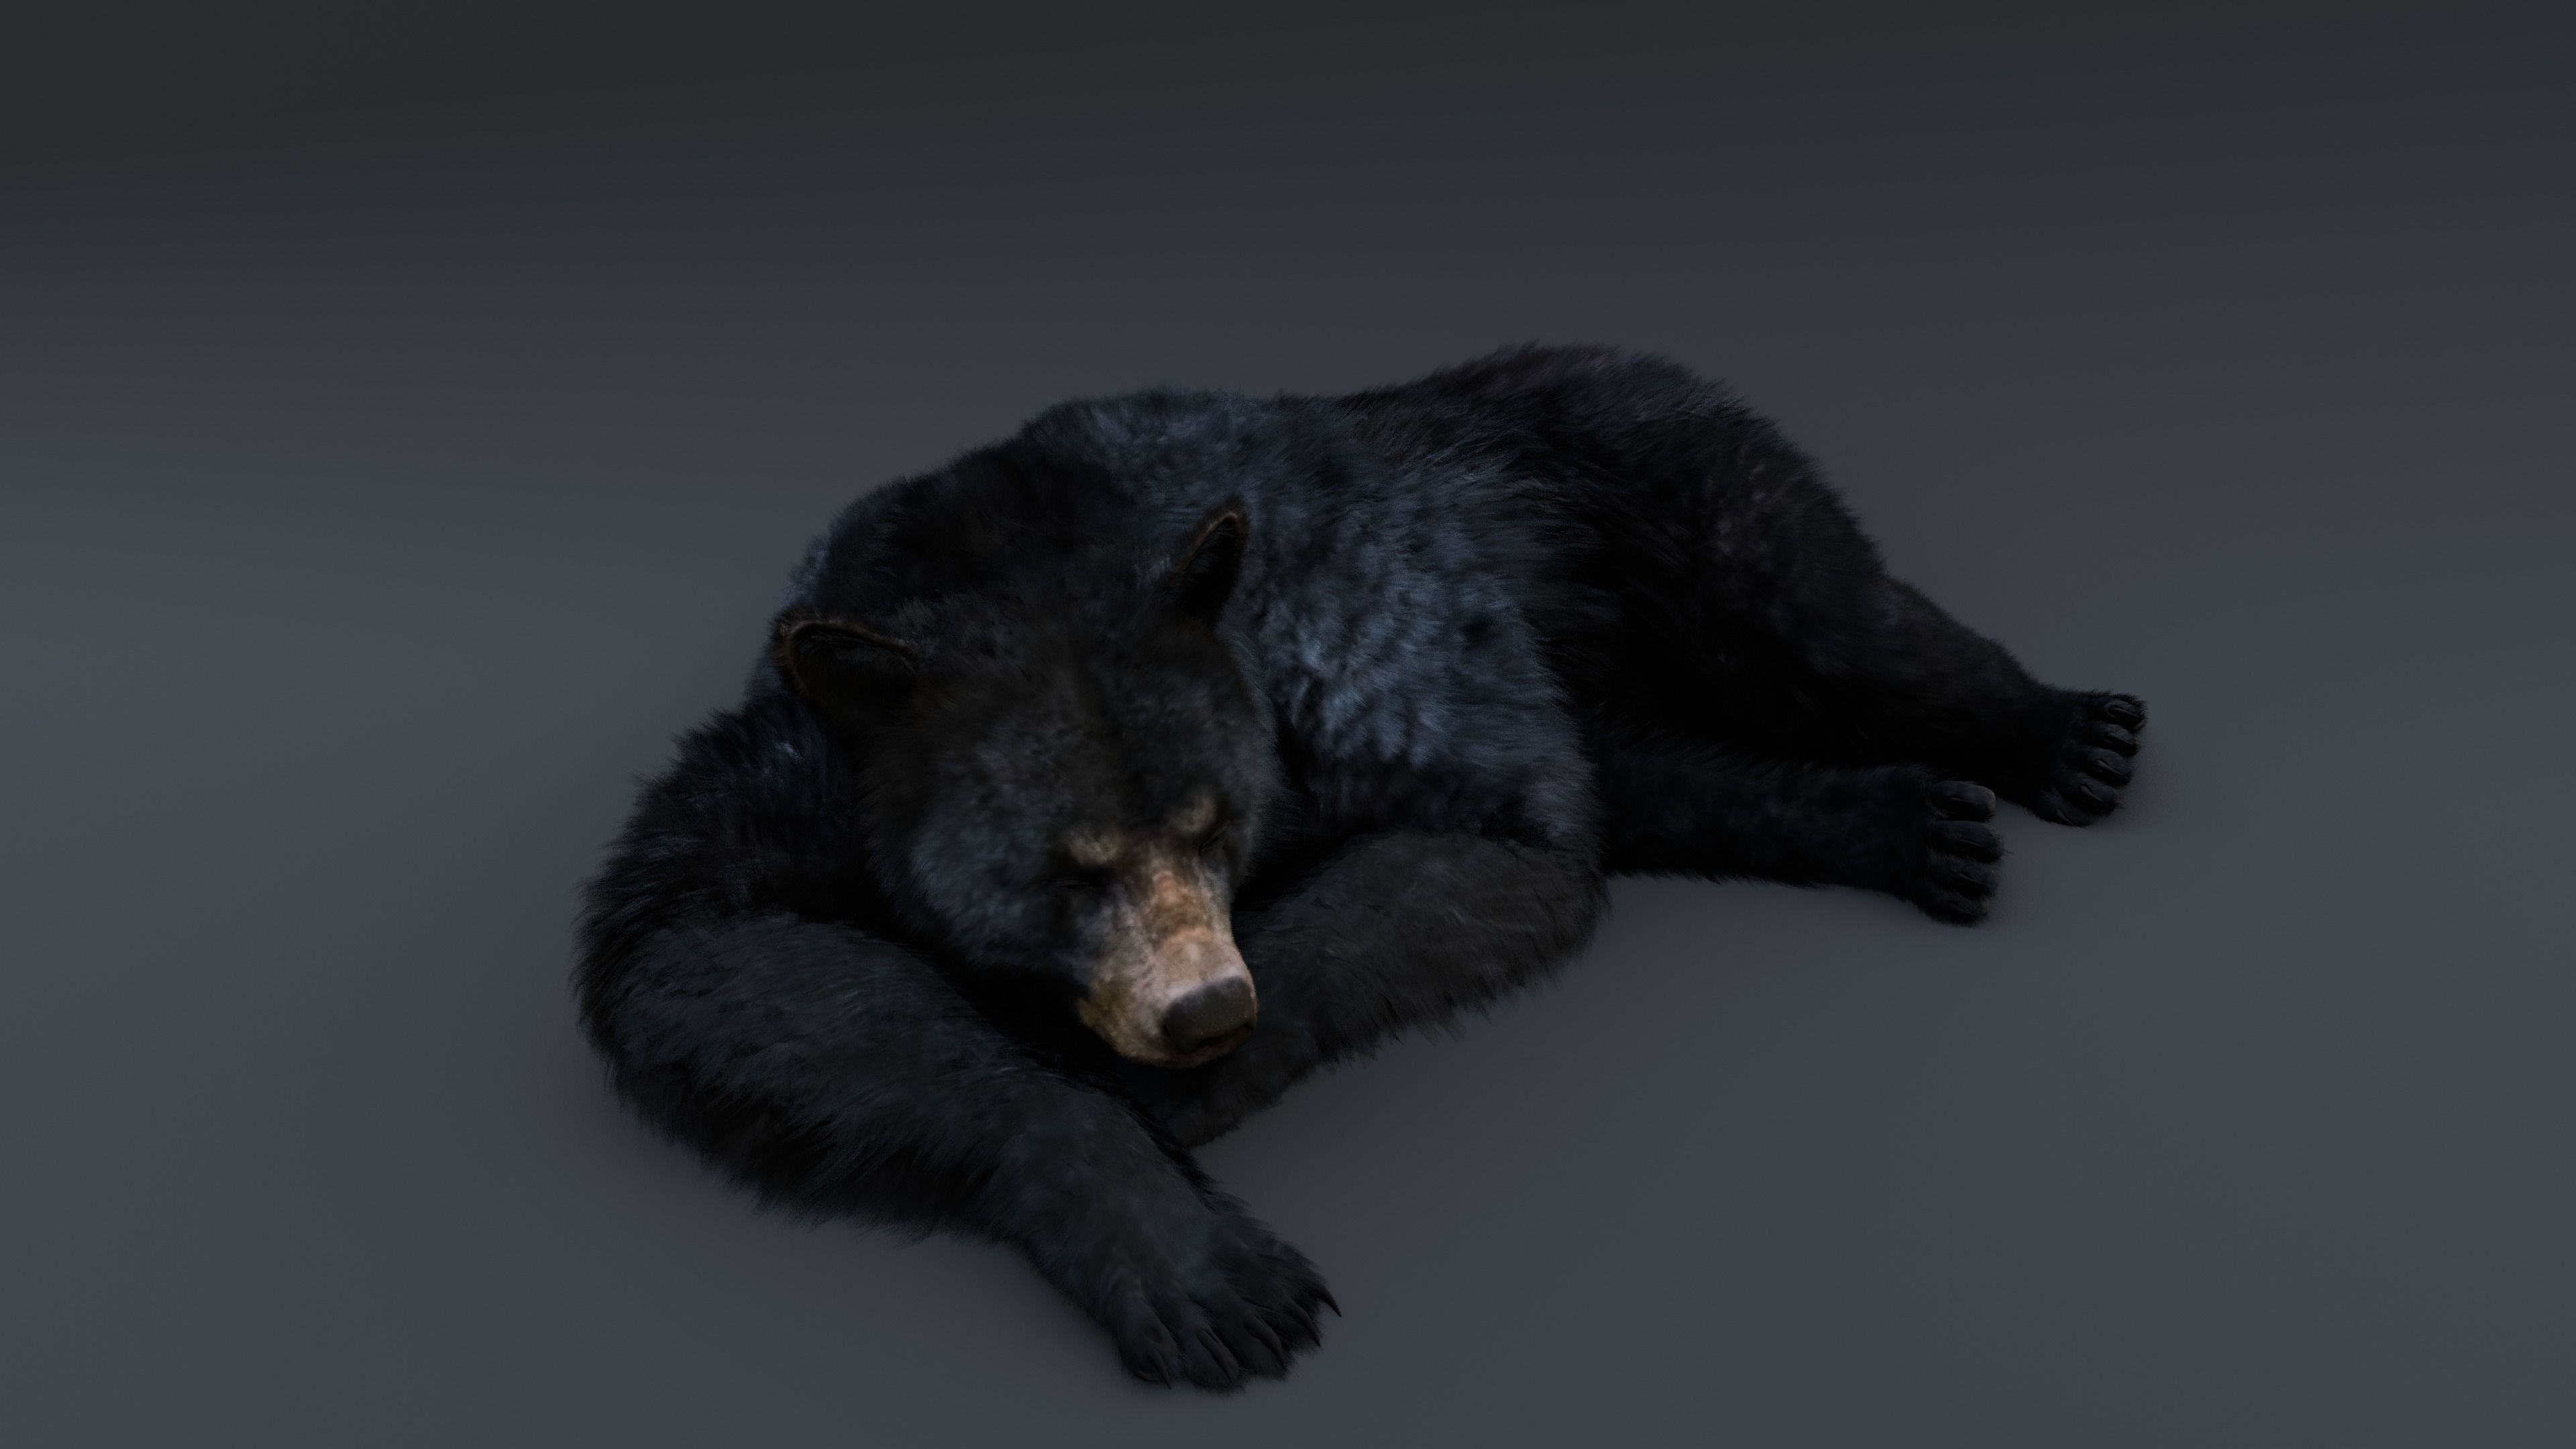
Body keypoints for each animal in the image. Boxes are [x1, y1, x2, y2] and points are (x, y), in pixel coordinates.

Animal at [575, 343, 2145, 1389]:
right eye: (1064, 867)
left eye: (1211, 819)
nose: (1202, 1009)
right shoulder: (799, 769)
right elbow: (702, 950)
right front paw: (1194, 1259)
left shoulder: (1363, 643)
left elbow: (1489, 842)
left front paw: (1180, 1089)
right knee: (1660, 776)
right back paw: (1899, 825)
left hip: (1659, 471)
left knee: (1825, 613)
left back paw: (2054, 736)